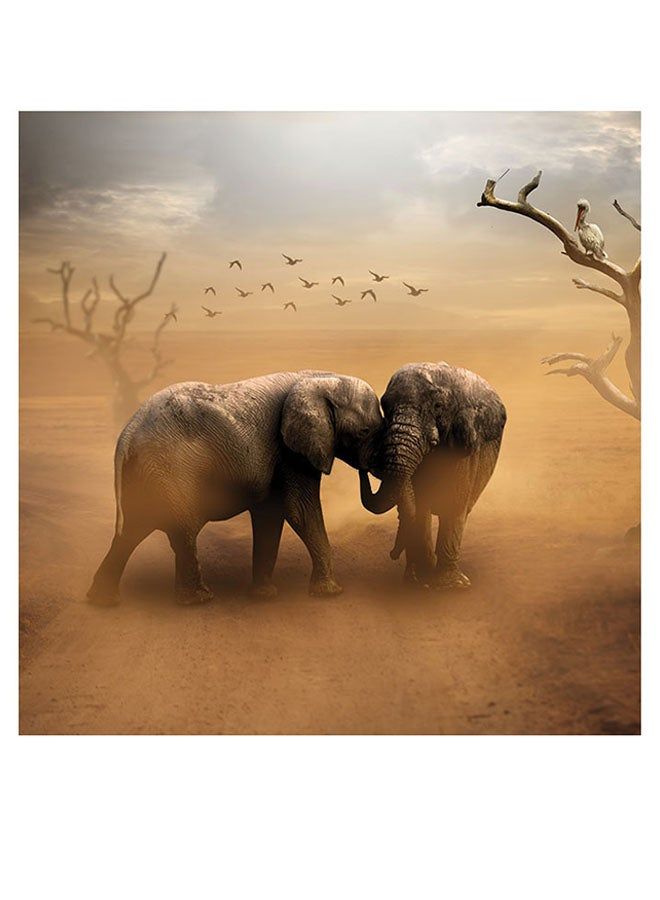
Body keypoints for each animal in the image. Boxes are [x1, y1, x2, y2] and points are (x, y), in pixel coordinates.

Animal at [87, 371, 383, 606]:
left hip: (142, 475)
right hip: (169, 471)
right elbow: (300, 511)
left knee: (130, 533)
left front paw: (264, 596)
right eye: (365, 431)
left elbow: (270, 517)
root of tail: (127, 435)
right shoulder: (291, 451)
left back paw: (103, 601)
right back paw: (198, 601)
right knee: (180, 531)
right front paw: (331, 593)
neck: (321, 377)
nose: (365, 469)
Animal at [359, 362, 506, 589]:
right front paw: (422, 578)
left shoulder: (463, 446)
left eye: (438, 406)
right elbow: (419, 506)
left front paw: (452, 586)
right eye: (385, 405)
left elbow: (454, 503)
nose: (393, 554)